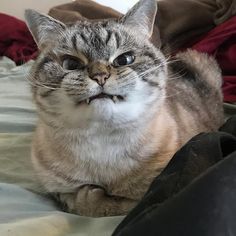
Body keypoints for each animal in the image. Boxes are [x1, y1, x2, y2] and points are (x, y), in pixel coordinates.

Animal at [24, 0, 224, 218]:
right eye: (71, 64)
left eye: (124, 60)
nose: (100, 76)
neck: (103, 146)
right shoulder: (57, 190)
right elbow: (84, 204)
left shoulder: (152, 194)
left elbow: (116, 206)